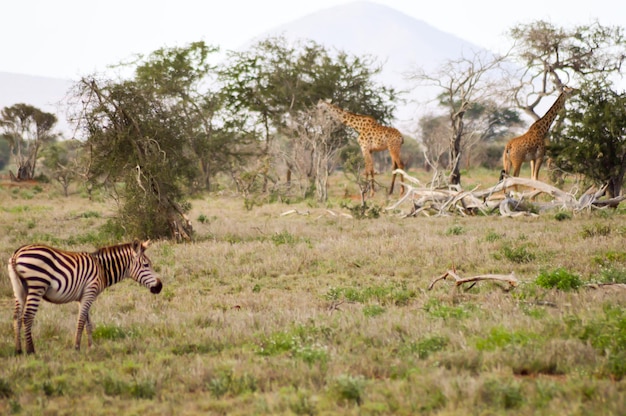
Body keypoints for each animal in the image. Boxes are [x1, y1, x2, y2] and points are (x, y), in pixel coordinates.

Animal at [7, 239, 163, 352]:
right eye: (146, 265)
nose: (160, 286)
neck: (102, 269)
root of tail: (16, 254)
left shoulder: (84, 296)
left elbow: (88, 322)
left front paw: (90, 346)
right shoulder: (90, 292)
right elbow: (81, 320)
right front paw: (77, 347)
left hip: (19, 290)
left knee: (16, 317)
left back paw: (18, 350)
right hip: (37, 286)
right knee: (27, 317)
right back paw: (31, 350)